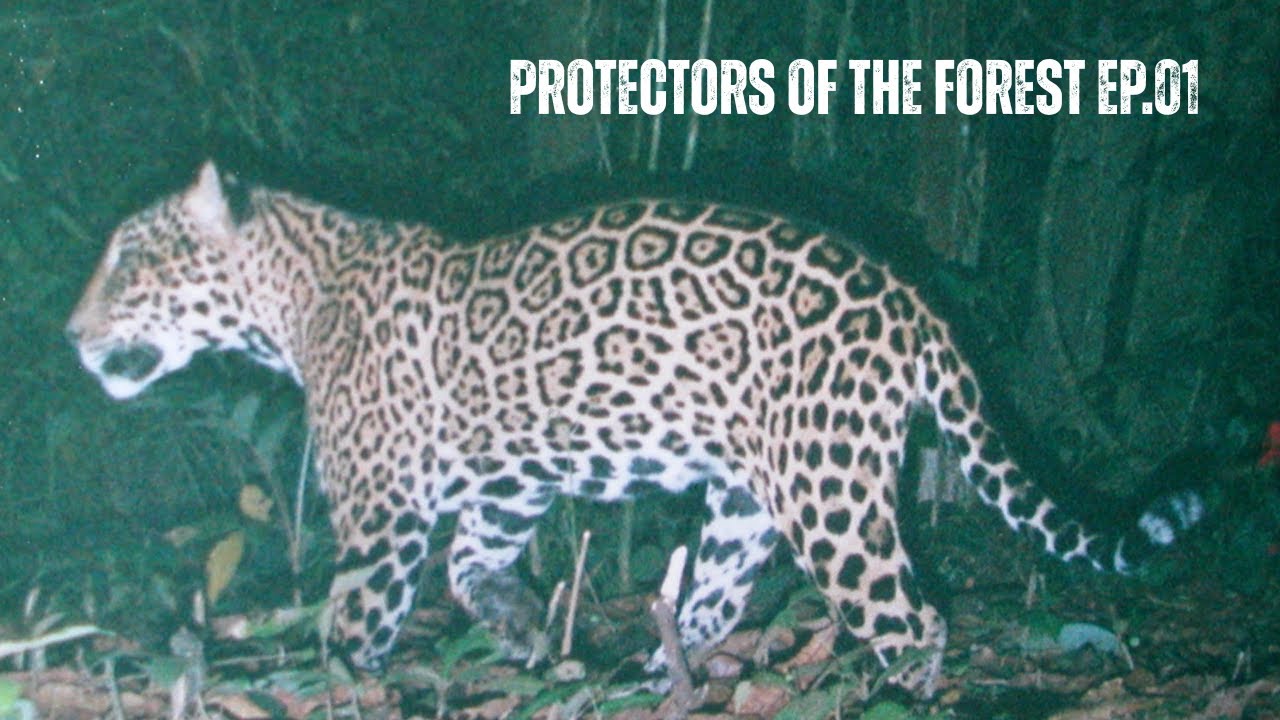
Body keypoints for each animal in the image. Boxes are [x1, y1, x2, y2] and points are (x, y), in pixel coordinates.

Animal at [66, 161, 1204, 697]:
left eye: (129, 260)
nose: (71, 335)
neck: (290, 302)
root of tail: (913, 300)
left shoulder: (384, 514)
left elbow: (357, 624)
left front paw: (343, 686)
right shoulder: (508, 487)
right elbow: (471, 571)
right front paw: (525, 633)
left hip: (831, 493)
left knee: (911, 620)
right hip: (749, 498)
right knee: (713, 598)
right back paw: (667, 680)